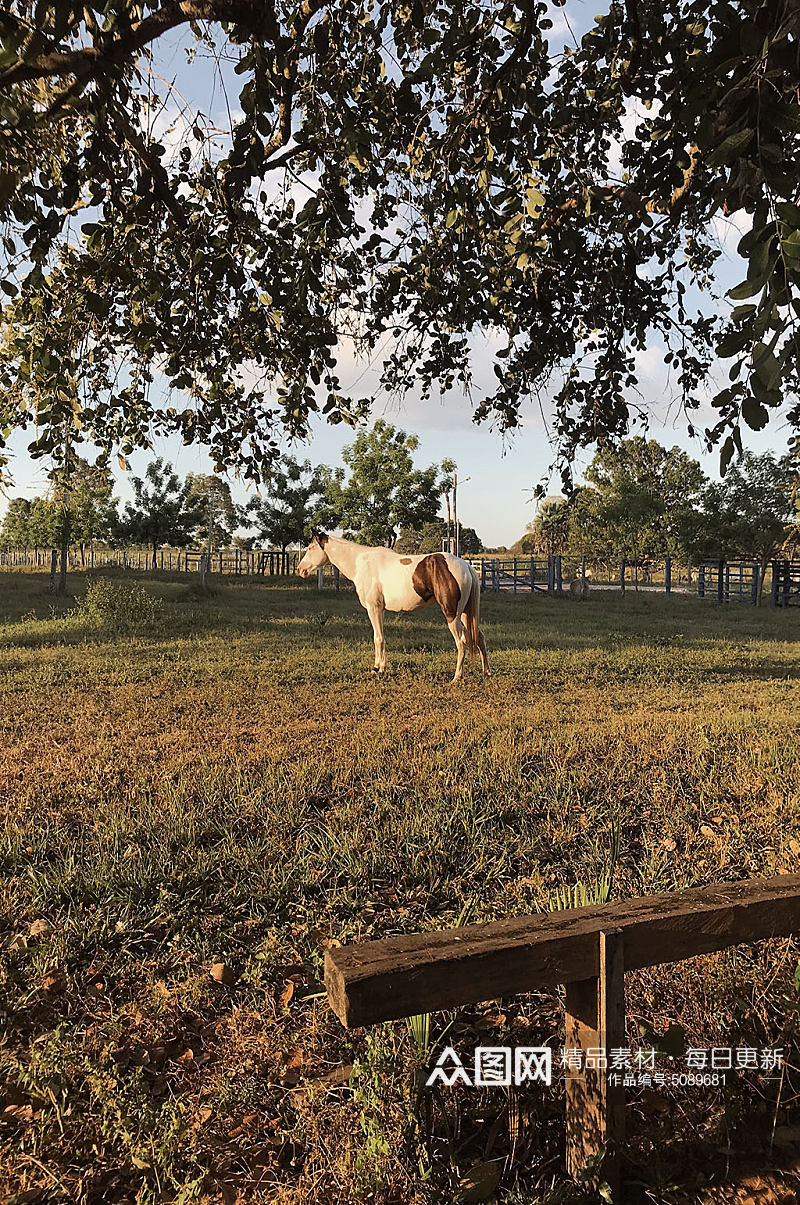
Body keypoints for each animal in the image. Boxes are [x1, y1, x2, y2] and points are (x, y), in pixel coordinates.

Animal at [298, 532, 491, 684]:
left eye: (310, 548)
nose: (300, 569)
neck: (362, 562)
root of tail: (466, 566)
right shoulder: (380, 610)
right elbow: (381, 636)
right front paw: (378, 667)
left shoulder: (373, 608)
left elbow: (378, 638)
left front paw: (379, 669)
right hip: (465, 613)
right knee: (480, 638)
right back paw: (486, 673)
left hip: (452, 614)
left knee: (462, 643)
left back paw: (456, 677)